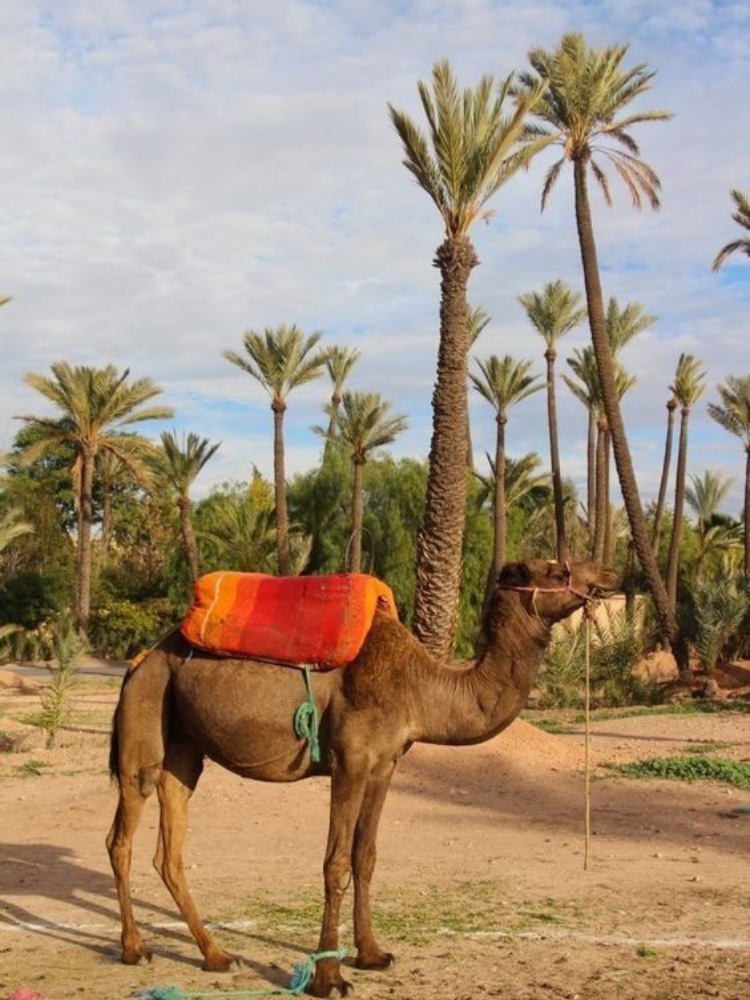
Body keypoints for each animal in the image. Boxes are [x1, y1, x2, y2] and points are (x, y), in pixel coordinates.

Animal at [106, 558, 618, 997]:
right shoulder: (349, 760)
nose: (609, 575)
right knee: (122, 835)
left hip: (184, 748)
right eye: (555, 569)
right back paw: (136, 949)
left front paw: (372, 955)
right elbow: (335, 862)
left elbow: (365, 856)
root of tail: (141, 659)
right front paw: (329, 978)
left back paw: (216, 955)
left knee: (169, 850)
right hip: (146, 719)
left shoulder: (384, 765)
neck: (420, 688)